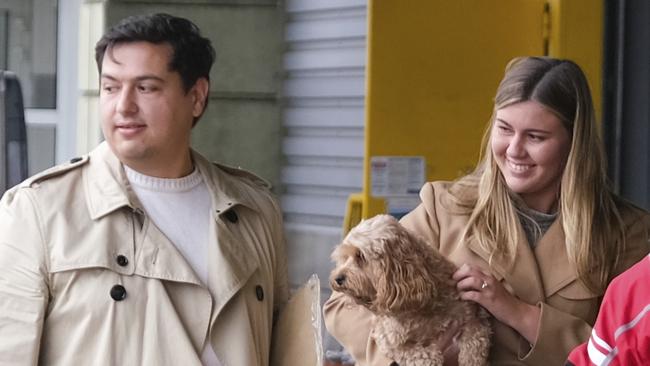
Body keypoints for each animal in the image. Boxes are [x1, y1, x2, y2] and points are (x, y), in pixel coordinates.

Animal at [326, 214, 488, 366]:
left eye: (360, 256)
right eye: (345, 257)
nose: (337, 278)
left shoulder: (471, 318)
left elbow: (474, 344)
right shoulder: (388, 340)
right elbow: (420, 355)